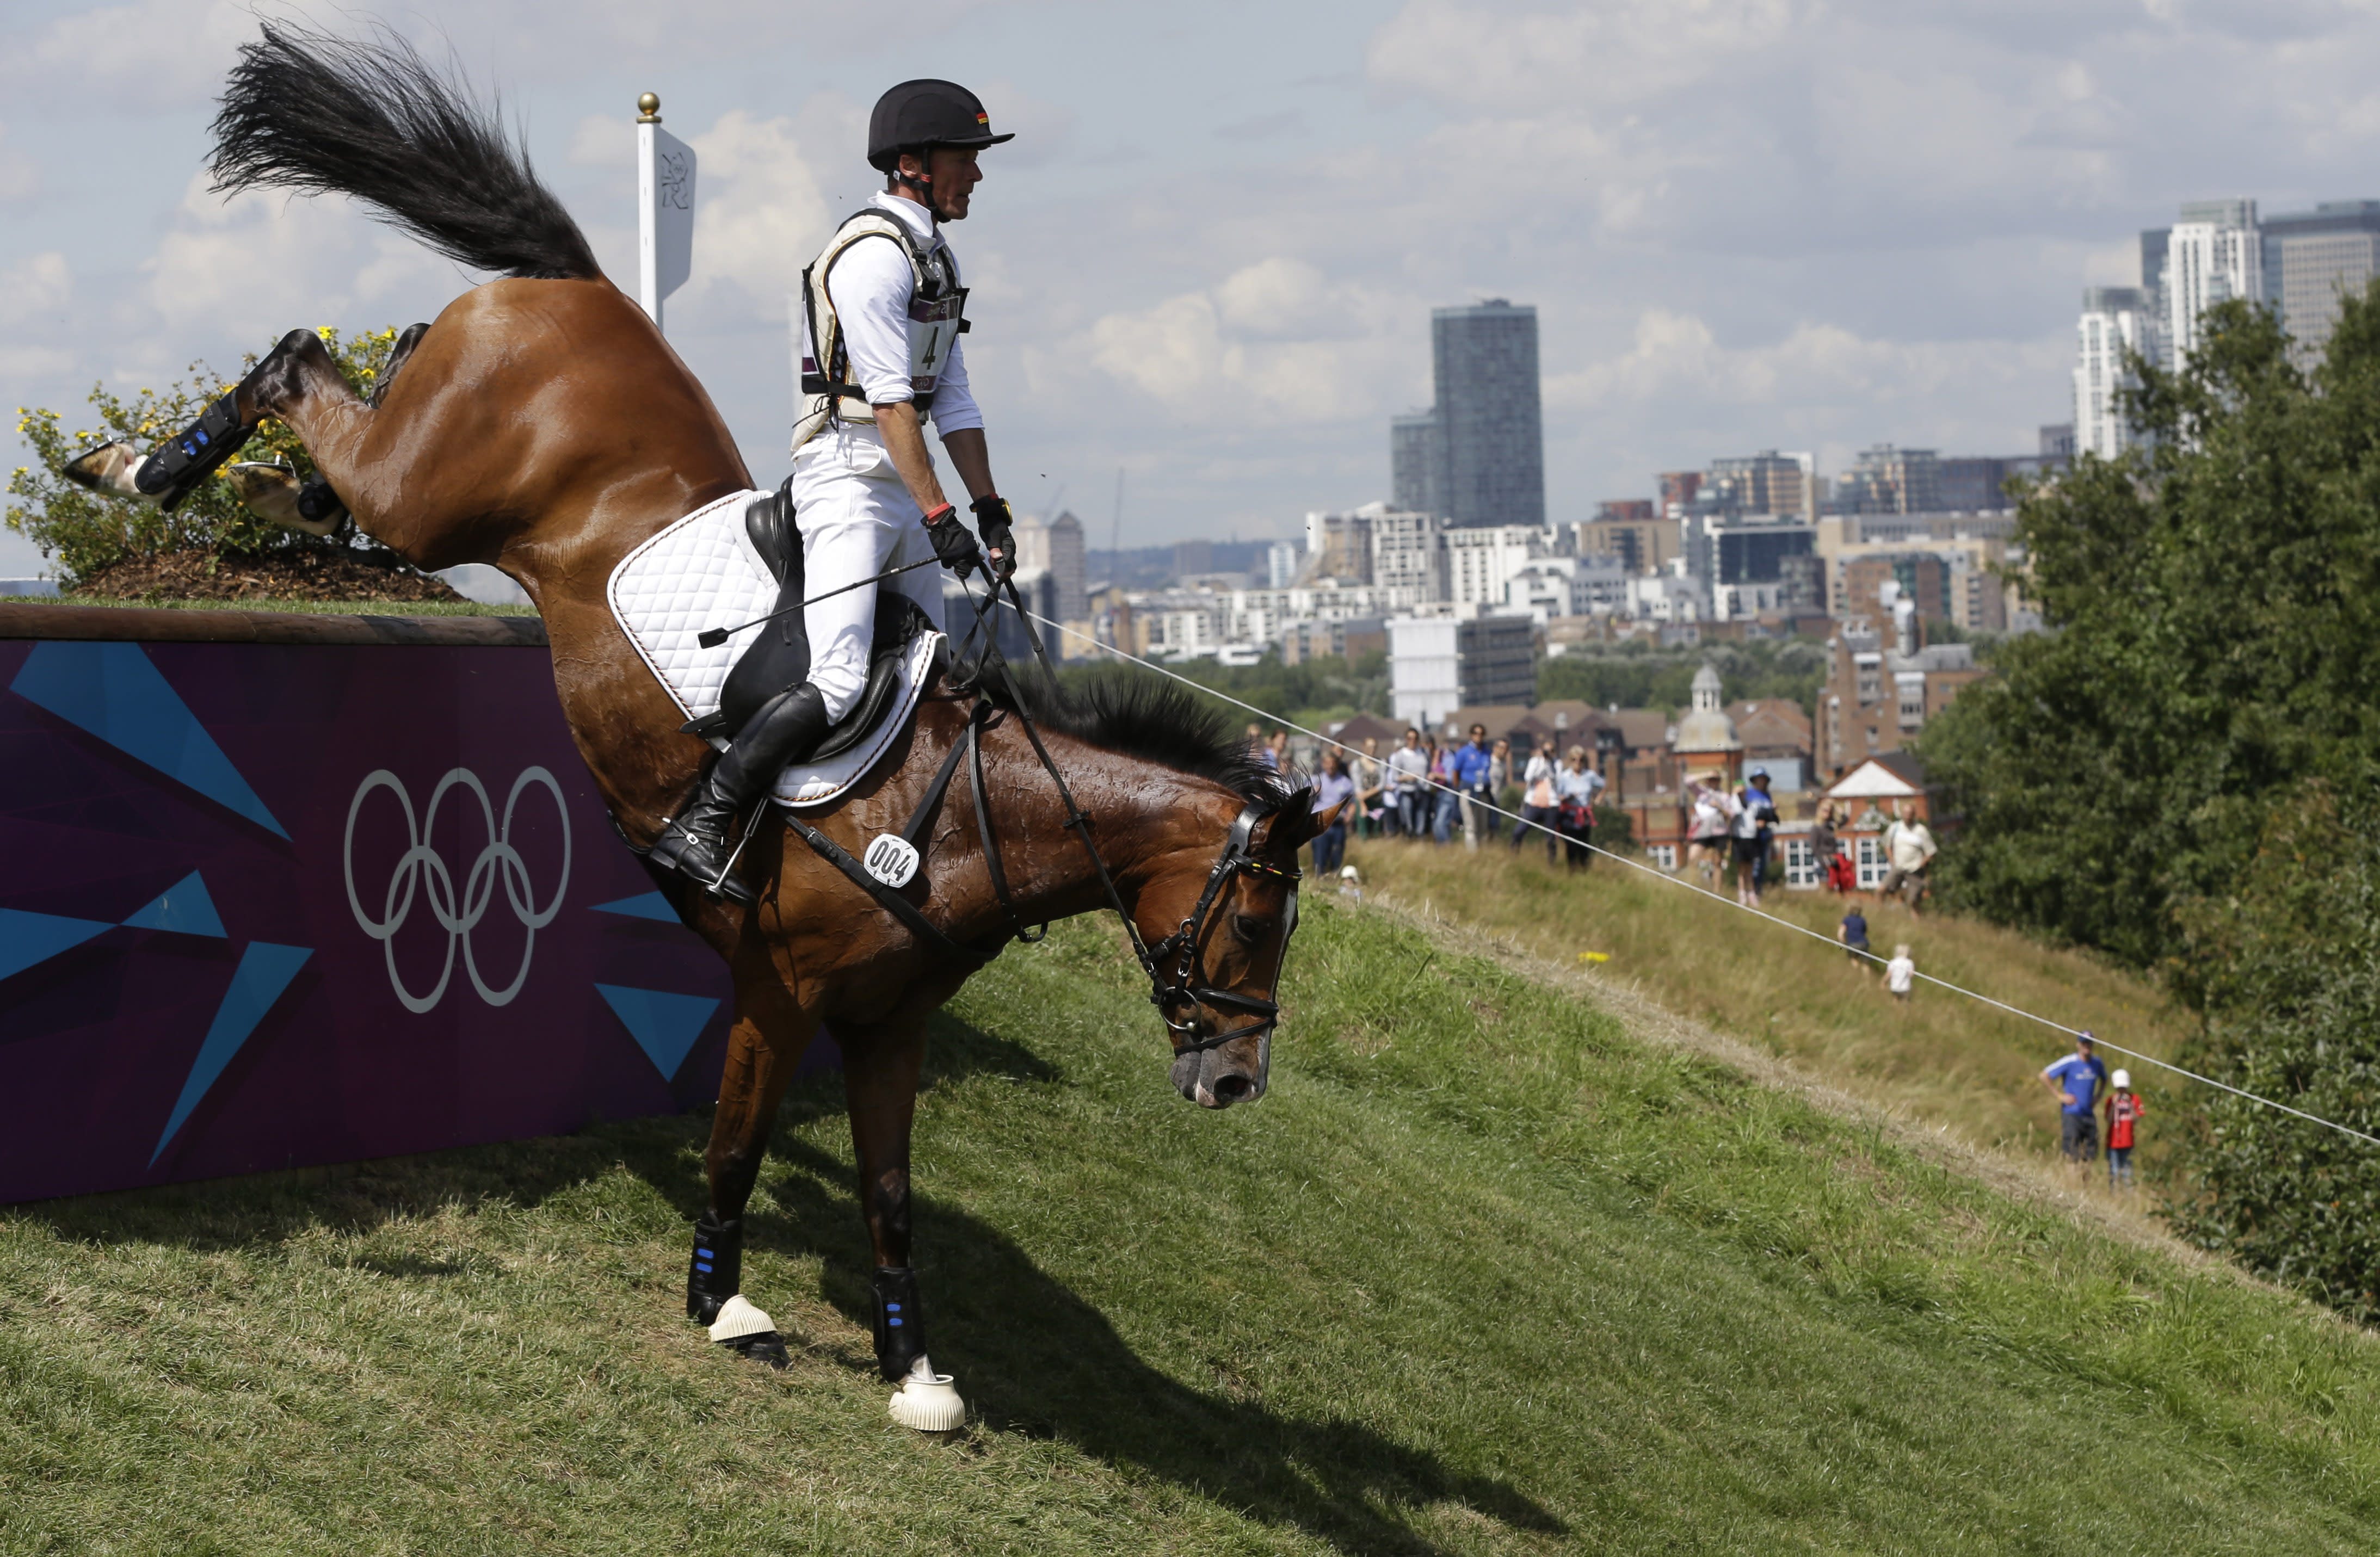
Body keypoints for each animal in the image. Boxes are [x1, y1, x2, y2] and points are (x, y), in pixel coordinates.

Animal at [65, 27, 1342, 1438]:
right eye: (1256, 921)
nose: (1235, 1081)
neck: (958, 808)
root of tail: (574, 285)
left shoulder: (886, 1029)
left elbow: (889, 1196)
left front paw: (914, 1368)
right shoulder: (776, 995)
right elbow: (732, 1147)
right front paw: (723, 1301)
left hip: (421, 485)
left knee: (330, 422)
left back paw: (238, 487)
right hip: (430, 496)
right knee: (297, 363)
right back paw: (138, 467)